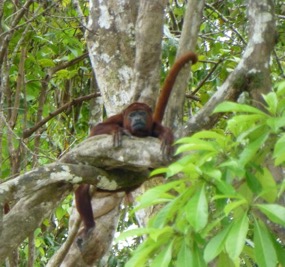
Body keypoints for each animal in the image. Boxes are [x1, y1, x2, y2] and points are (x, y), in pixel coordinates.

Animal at [74, 52, 196, 237]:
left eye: (141, 113)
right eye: (132, 115)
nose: (137, 119)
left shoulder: (153, 126)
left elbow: (164, 135)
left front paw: (167, 137)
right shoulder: (119, 117)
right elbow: (96, 130)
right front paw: (117, 131)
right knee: (81, 188)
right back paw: (89, 225)